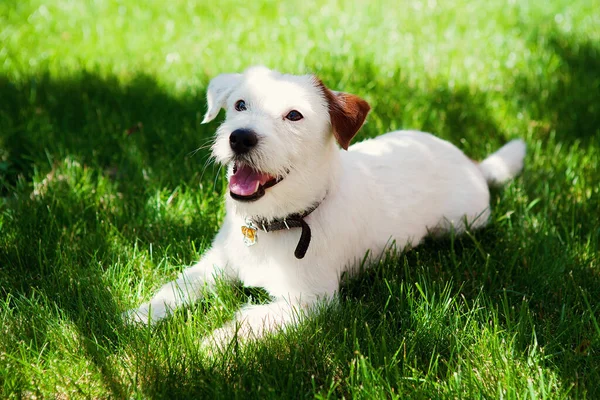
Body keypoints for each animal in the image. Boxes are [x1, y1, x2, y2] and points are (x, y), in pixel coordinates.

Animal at [125, 66, 524, 346]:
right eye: (239, 105)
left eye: (294, 116)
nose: (240, 138)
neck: (276, 224)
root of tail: (473, 164)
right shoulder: (216, 263)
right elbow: (177, 287)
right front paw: (137, 316)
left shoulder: (310, 302)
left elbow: (249, 319)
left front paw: (211, 345)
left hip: (461, 223)